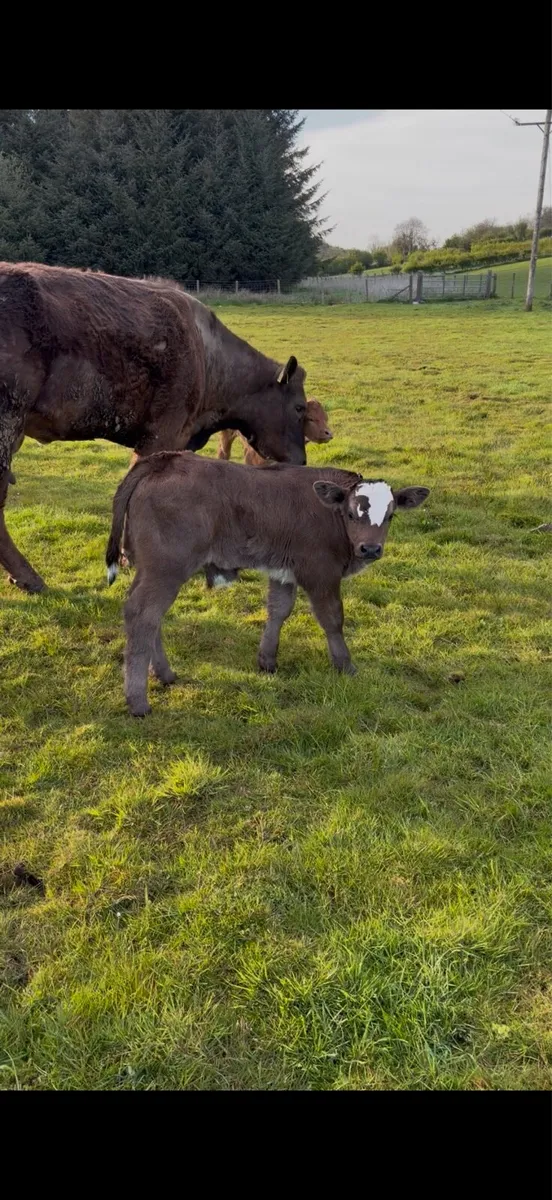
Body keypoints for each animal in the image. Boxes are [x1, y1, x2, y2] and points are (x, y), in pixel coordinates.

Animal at [0, 262, 308, 594]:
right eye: (299, 407)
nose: (301, 461)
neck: (207, 353)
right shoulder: (161, 436)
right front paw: (132, 555)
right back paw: (31, 579)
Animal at [105, 451, 430, 716]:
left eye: (390, 516)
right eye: (351, 513)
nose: (371, 549)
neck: (330, 515)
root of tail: (166, 459)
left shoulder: (283, 570)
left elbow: (278, 610)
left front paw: (267, 660)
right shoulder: (320, 573)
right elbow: (332, 619)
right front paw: (345, 665)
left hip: (151, 569)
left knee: (151, 616)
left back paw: (164, 674)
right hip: (167, 567)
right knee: (143, 614)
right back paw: (138, 701)